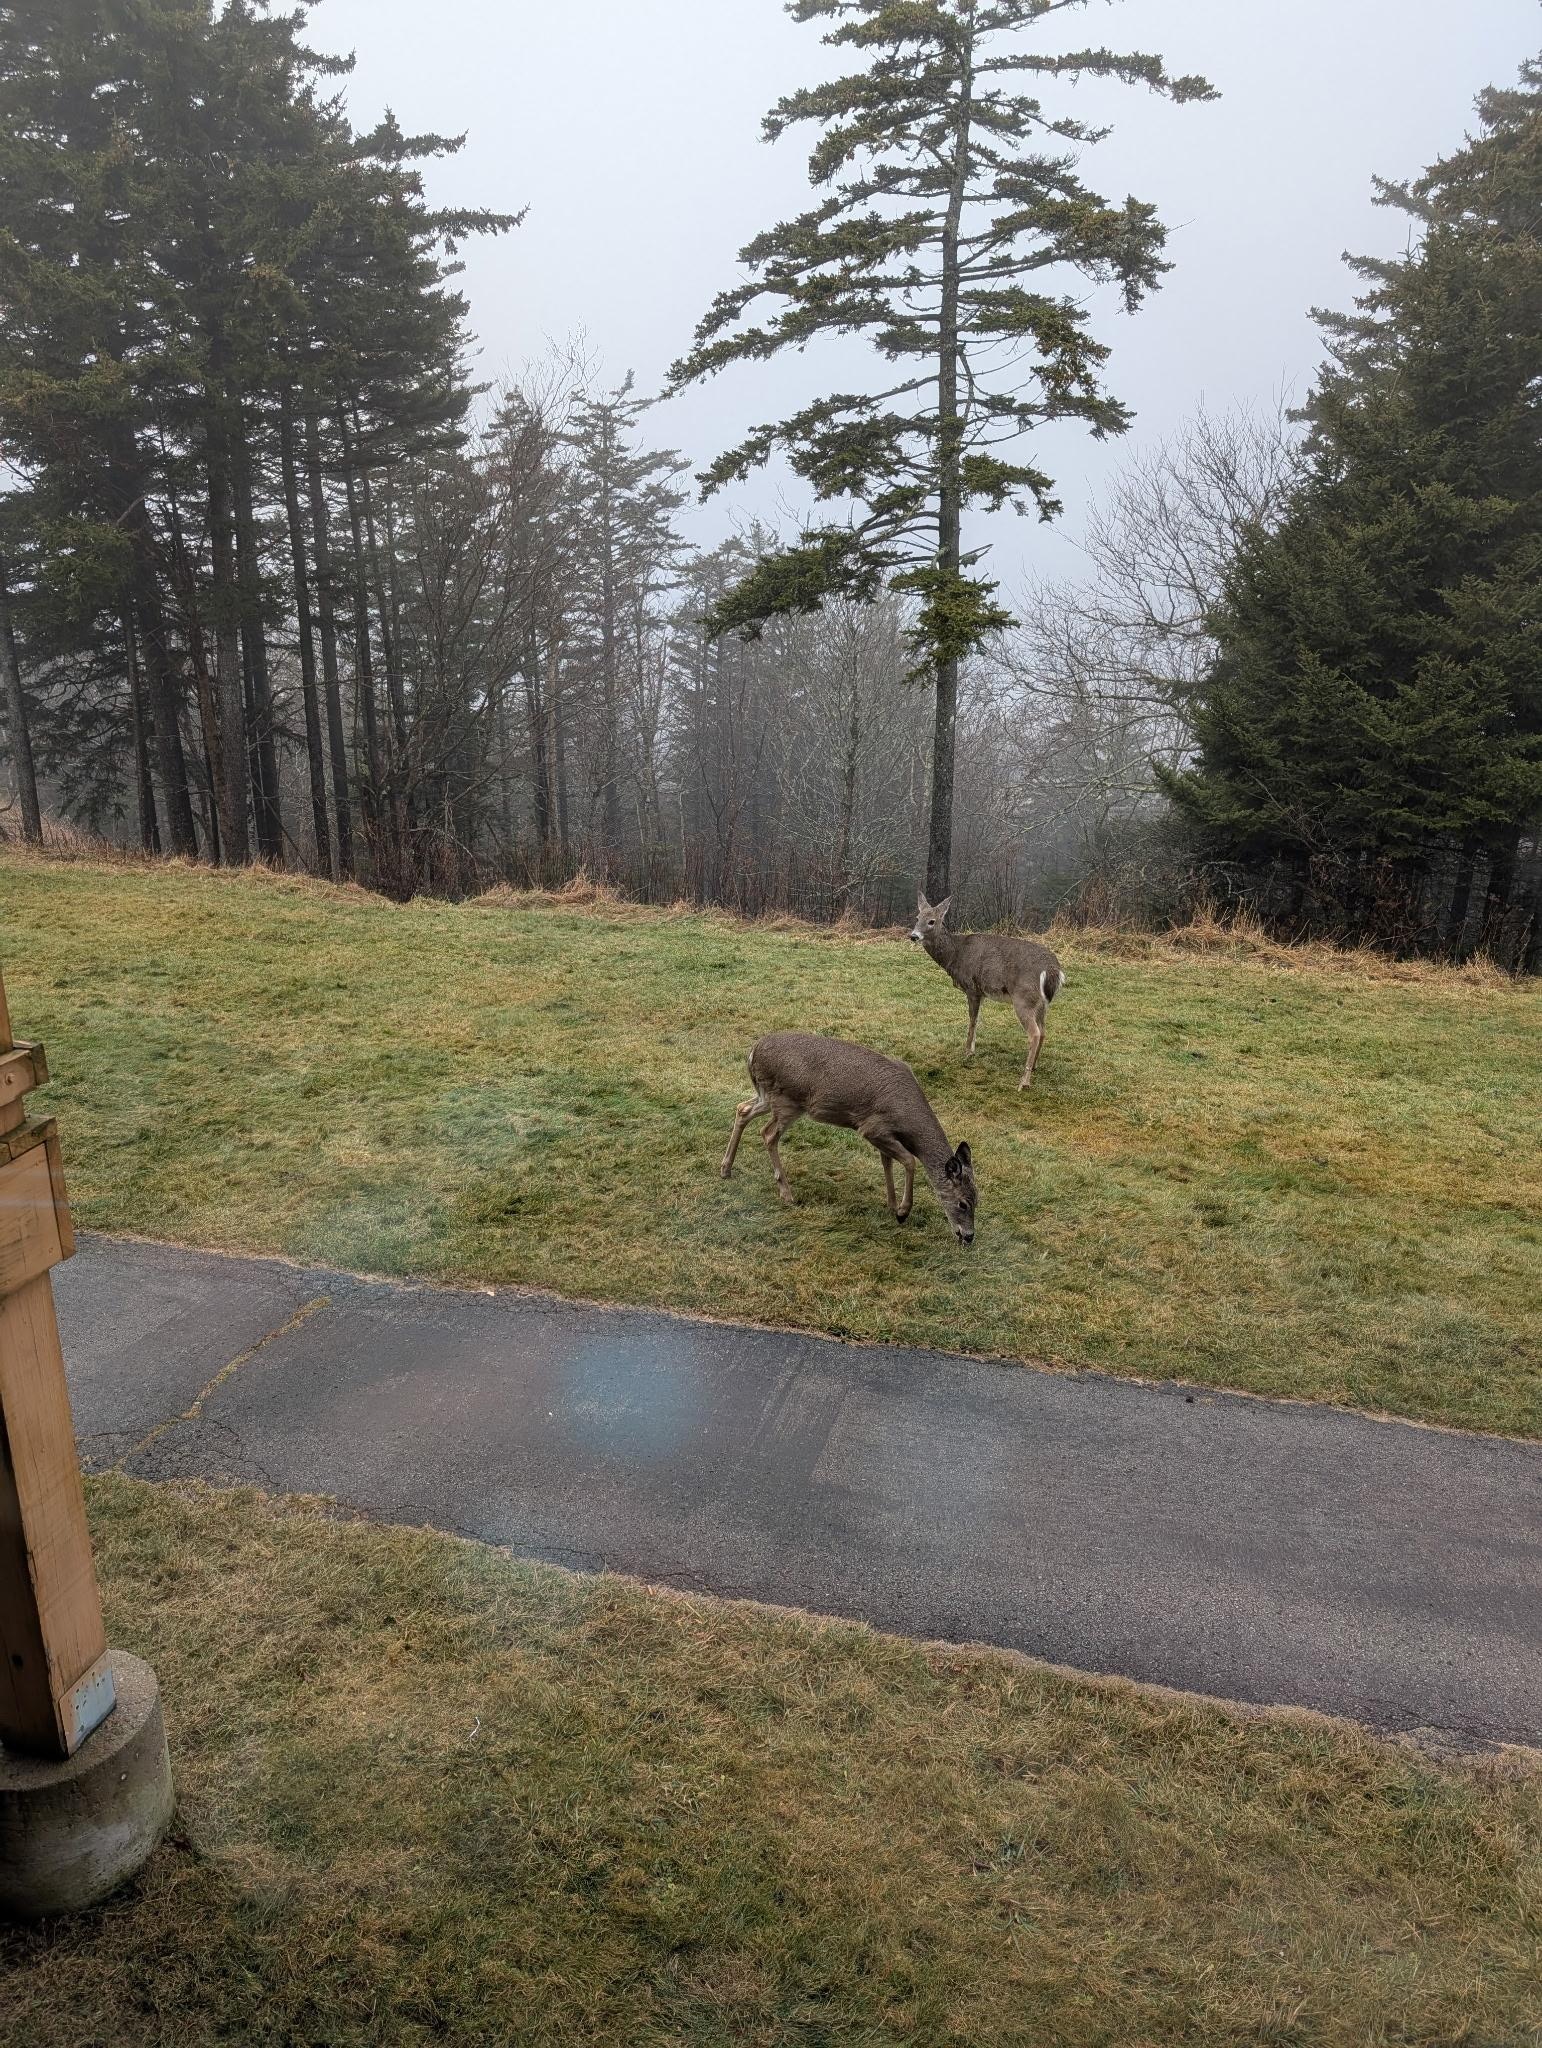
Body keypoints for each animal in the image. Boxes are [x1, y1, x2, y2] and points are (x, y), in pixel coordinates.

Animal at [720, 1030, 978, 1244]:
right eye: (963, 1203)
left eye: (978, 1200)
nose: (968, 1236)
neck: (907, 1119)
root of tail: (752, 1052)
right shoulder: (873, 1127)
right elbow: (909, 1160)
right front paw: (903, 1212)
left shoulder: (884, 1136)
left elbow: (887, 1163)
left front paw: (892, 1206)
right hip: (788, 1100)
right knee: (768, 1134)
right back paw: (786, 1193)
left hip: (767, 1096)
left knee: (742, 1109)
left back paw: (726, 1169)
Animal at [910, 892, 1065, 1090]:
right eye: (917, 918)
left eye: (932, 921)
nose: (913, 936)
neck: (955, 955)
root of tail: (1053, 969)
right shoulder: (981, 993)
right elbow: (977, 1020)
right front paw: (972, 1049)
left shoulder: (972, 988)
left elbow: (972, 1020)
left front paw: (967, 1052)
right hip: (1041, 1003)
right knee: (1043, 1030)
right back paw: (1034, 1066)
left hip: (1023, 998)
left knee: (1035, 1033)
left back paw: (1024, 1082)